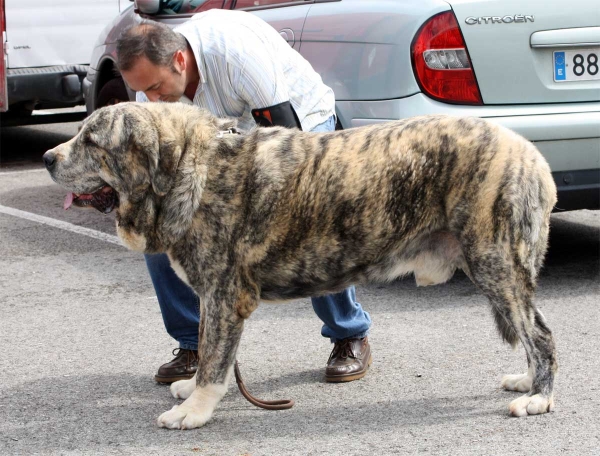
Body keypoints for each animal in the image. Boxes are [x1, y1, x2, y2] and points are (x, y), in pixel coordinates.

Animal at [42, 101, 556, 430]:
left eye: (92, 140)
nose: (47, 157)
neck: (190, 166)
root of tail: (532, 153)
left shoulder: (225, 295)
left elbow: (215, 361)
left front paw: (195, 411)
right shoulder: (211, 298)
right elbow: (207, 350)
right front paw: (190, 389)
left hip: (495, 263)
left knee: (541, 335)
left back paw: (539, 397)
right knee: (532, 334)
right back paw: (528, 381)